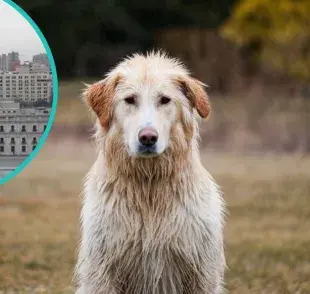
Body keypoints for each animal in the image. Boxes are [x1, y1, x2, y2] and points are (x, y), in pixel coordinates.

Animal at [74, 51, 225, 292]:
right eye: (130, 99)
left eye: (164, 99)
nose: (147, 138)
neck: (149, 186)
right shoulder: (102, 271)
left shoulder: (202, 272)